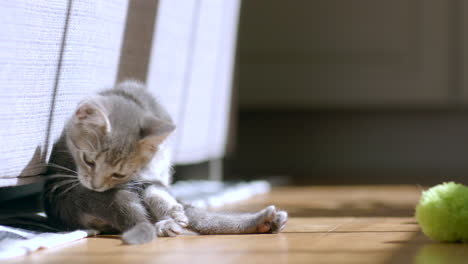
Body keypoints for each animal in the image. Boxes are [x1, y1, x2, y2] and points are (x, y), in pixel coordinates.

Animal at [43, 81, 288, 244]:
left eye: (119, 173)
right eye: (88, 160)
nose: (96, 186)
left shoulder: (150, 178)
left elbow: (157, 191)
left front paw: (170, 210)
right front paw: (169, 215)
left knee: (201, 219)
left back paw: (266, 221)